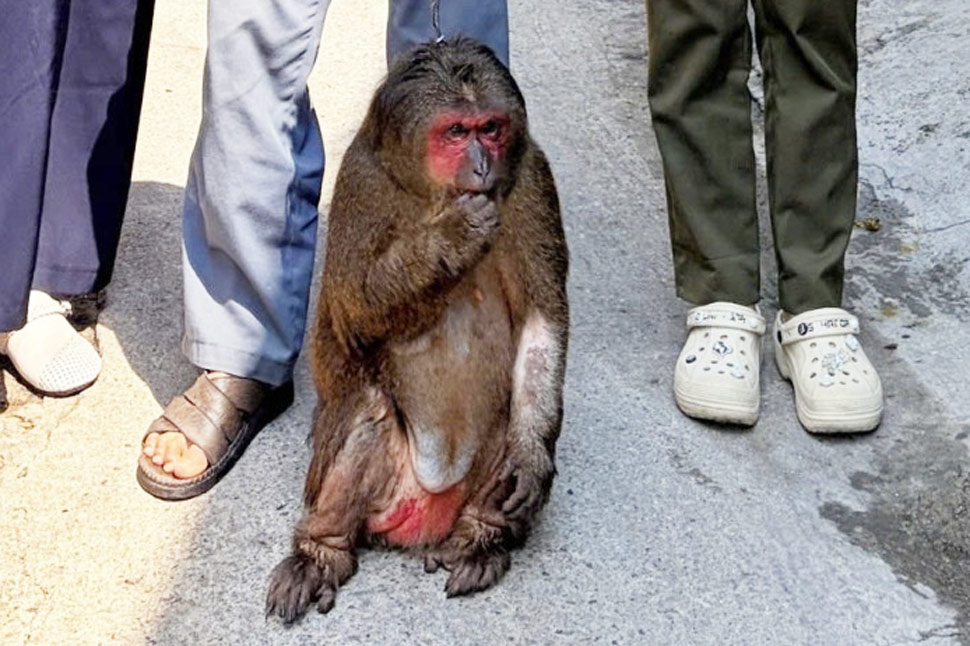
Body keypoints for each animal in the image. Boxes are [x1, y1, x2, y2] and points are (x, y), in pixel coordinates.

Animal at [265, 38, 569, 624]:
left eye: (490, 128)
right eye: (456, 132)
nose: (482, 165)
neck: (430, 192)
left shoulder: (532, 182)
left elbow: (543, 321)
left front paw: (529, 455)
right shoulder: (360, 185)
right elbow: (353, 312)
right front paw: (451, 237)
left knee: (507, 427)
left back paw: (480, 539)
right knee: (367, 411)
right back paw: (322, 549)